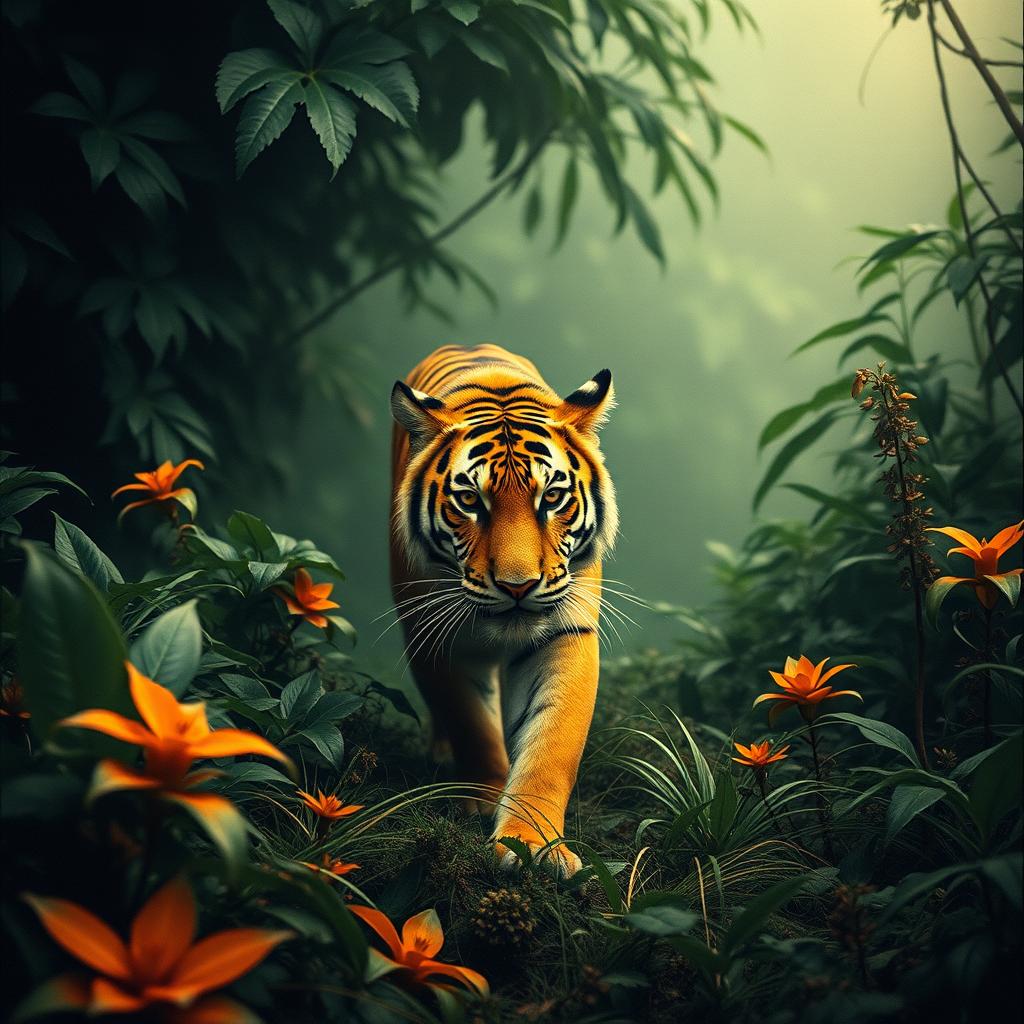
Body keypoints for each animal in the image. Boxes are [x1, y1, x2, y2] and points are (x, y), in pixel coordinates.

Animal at [389, 343, 618, 877]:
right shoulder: (431, 632)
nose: (518, 586)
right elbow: (471, 721)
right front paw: (483, 797)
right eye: (469, 500)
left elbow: (552, 745)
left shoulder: (567, 632)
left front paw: (533, 843)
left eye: (551, 496)